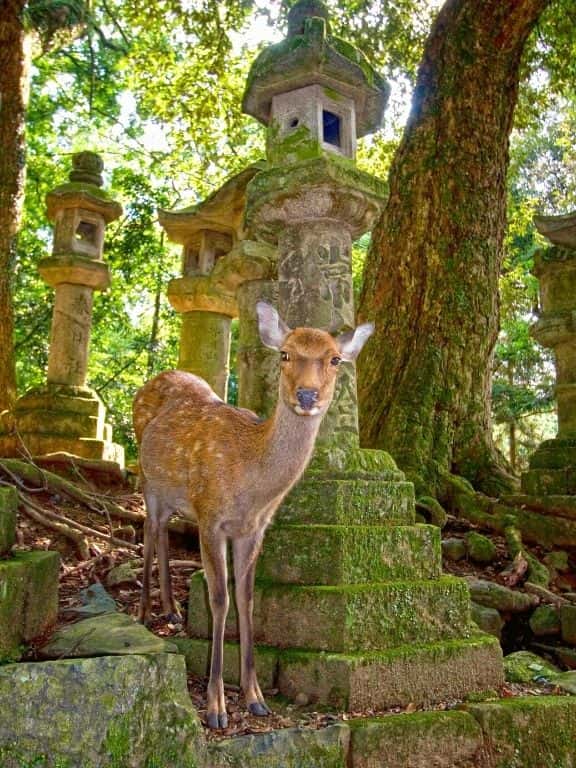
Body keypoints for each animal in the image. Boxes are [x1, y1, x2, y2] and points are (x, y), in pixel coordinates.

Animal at [132, 300, 372, 728]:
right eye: (285, 354)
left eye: (334, 359)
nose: (307, 395)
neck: (251, 484)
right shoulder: (211, 517)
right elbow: (220, 599)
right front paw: (216, 706)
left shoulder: (254, 529)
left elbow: (247, 598)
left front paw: (256, 697)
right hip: (147, 480)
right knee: (147, 529)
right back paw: (145, 612)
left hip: (174, 496)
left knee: (160, 531)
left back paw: (172, 611)